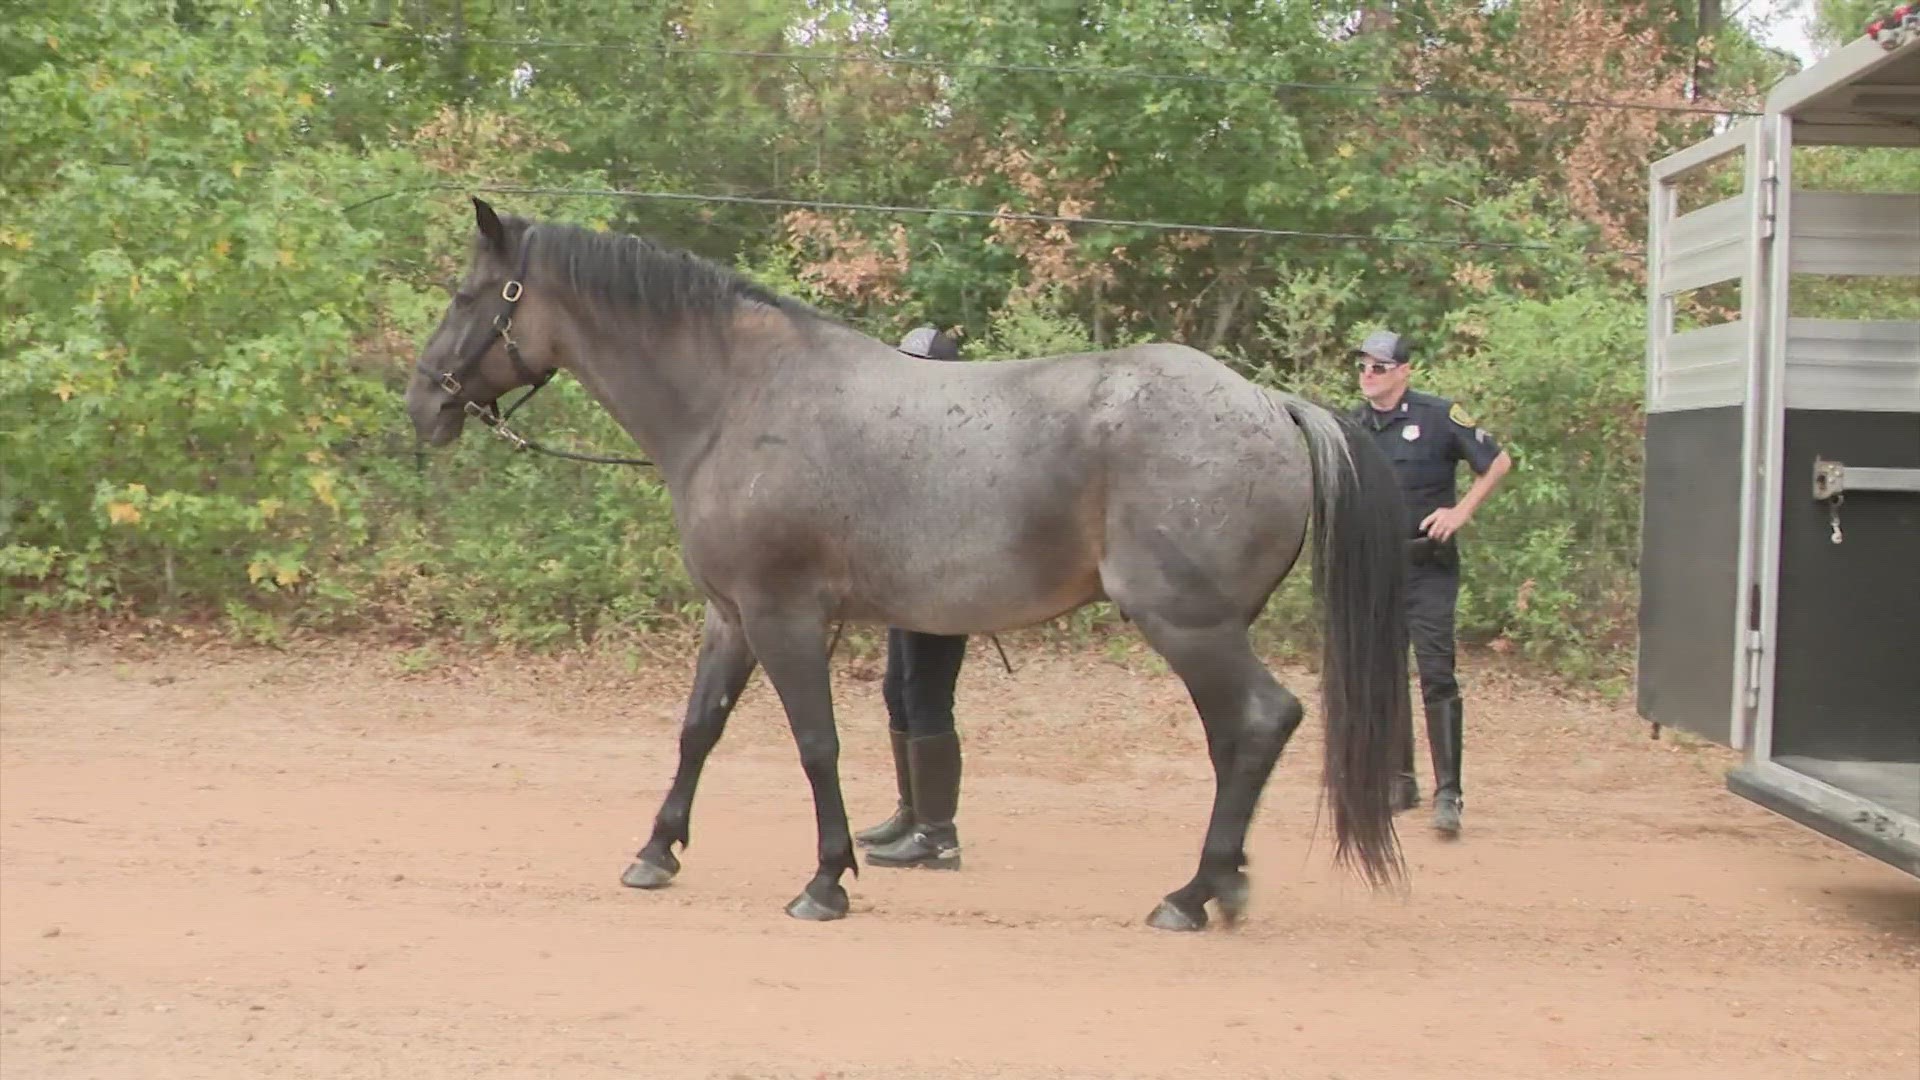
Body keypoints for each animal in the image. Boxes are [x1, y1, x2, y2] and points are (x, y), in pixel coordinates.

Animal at [405, 195, 1420, 926]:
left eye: (467, 298)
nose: (423, 403)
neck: (738, 399)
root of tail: (1269, 404)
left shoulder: (783, 616)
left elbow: (816, 743)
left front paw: (826, 880)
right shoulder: (730, 616)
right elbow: (699, 731)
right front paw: (657, 851)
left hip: (1189, 624)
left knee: (1260, 721)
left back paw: (1193, 893)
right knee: (1235, 738)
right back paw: (1224, 882)